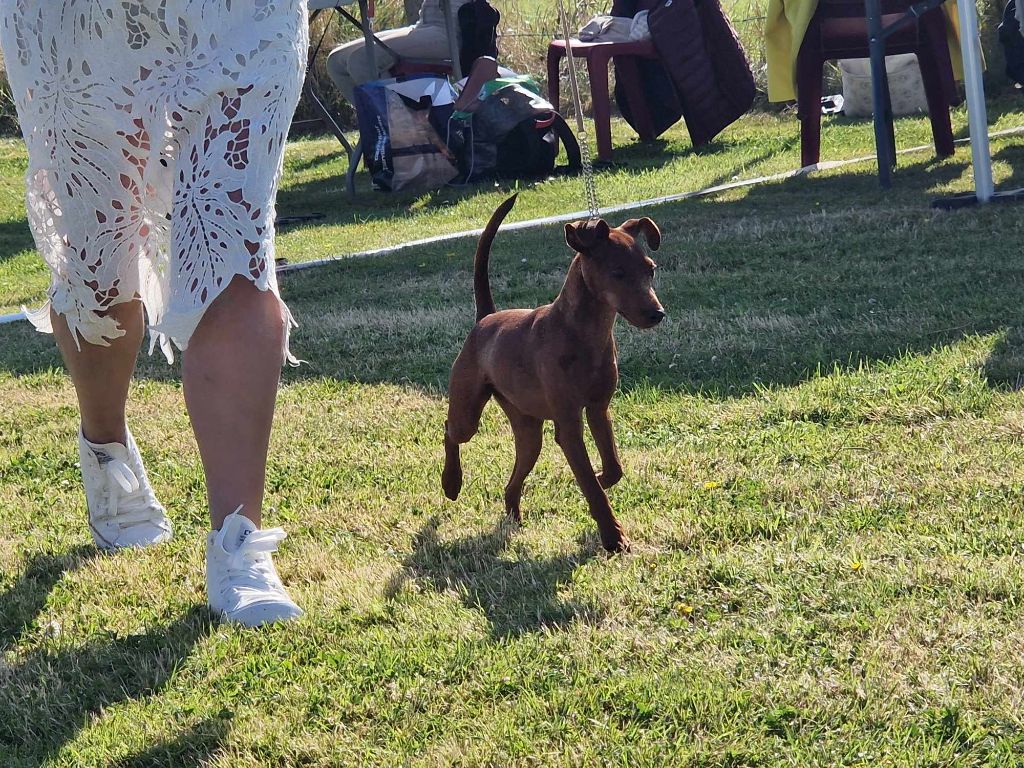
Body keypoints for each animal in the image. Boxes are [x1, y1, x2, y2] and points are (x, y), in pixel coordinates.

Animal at [444, 193, 667, 552]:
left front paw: (603, 479)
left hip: (528, 432)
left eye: (651, 270)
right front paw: (613, 537)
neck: (584, 333)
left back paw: (513, 517)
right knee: (450, 430)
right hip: (468, 411)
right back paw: (451, 483)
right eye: (617, 272)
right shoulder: (569, 425)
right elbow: (590, 484)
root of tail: (486, 319)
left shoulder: (598, 409)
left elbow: (613, 468)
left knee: (513, 479)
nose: (657, 314)